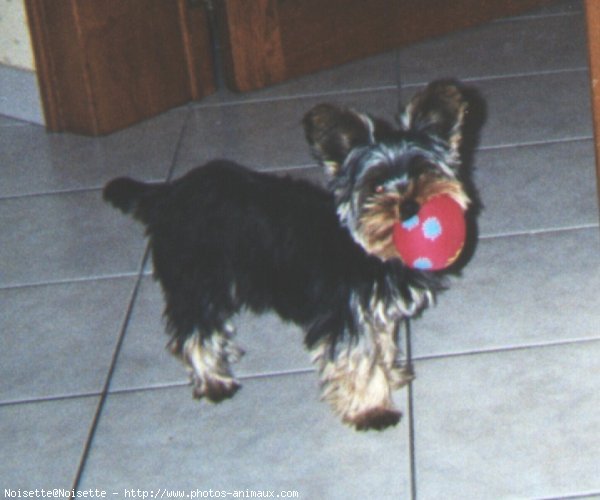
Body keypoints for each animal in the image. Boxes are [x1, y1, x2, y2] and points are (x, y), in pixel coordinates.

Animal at [103, 81, 478, 430]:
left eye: (422, 172)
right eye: (378, 186)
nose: (410, 207)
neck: (372, 252)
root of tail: (172, 191)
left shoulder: (375, 312)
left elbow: (382, 345)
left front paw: (391, 375)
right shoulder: (346, 315)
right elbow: (359, 360)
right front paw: (373, 408)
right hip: (196, 276)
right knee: (193, 328)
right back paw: (213, 380)